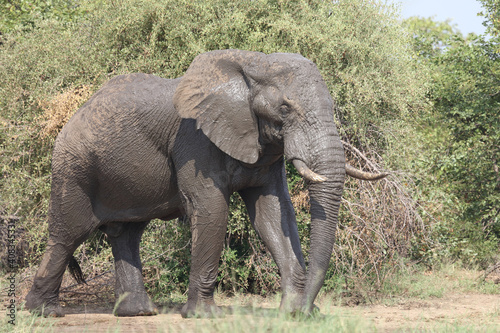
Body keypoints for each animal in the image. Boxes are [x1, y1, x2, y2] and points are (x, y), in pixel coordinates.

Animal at [25, 48, 386, 316]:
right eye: (285, 108)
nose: (309, 312)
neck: (252, 65)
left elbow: (273, 213)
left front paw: (292, 312)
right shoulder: (195, 140)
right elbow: (212, 208)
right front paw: (203, 316)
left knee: (127, 234)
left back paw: (138, 312)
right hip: (74, 168)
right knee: (67, 235)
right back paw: (44, 312)